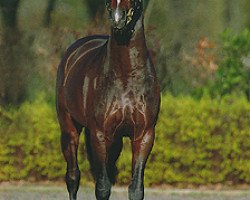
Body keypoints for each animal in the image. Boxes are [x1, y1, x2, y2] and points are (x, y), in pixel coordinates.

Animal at [55, 0, 160, 199]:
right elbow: (102, 188)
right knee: (73, 177)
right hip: (69, 129)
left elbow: (135, 189)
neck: (127, 77)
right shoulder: (100, 135)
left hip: (115, 141)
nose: (117, 17)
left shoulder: (144, 135)